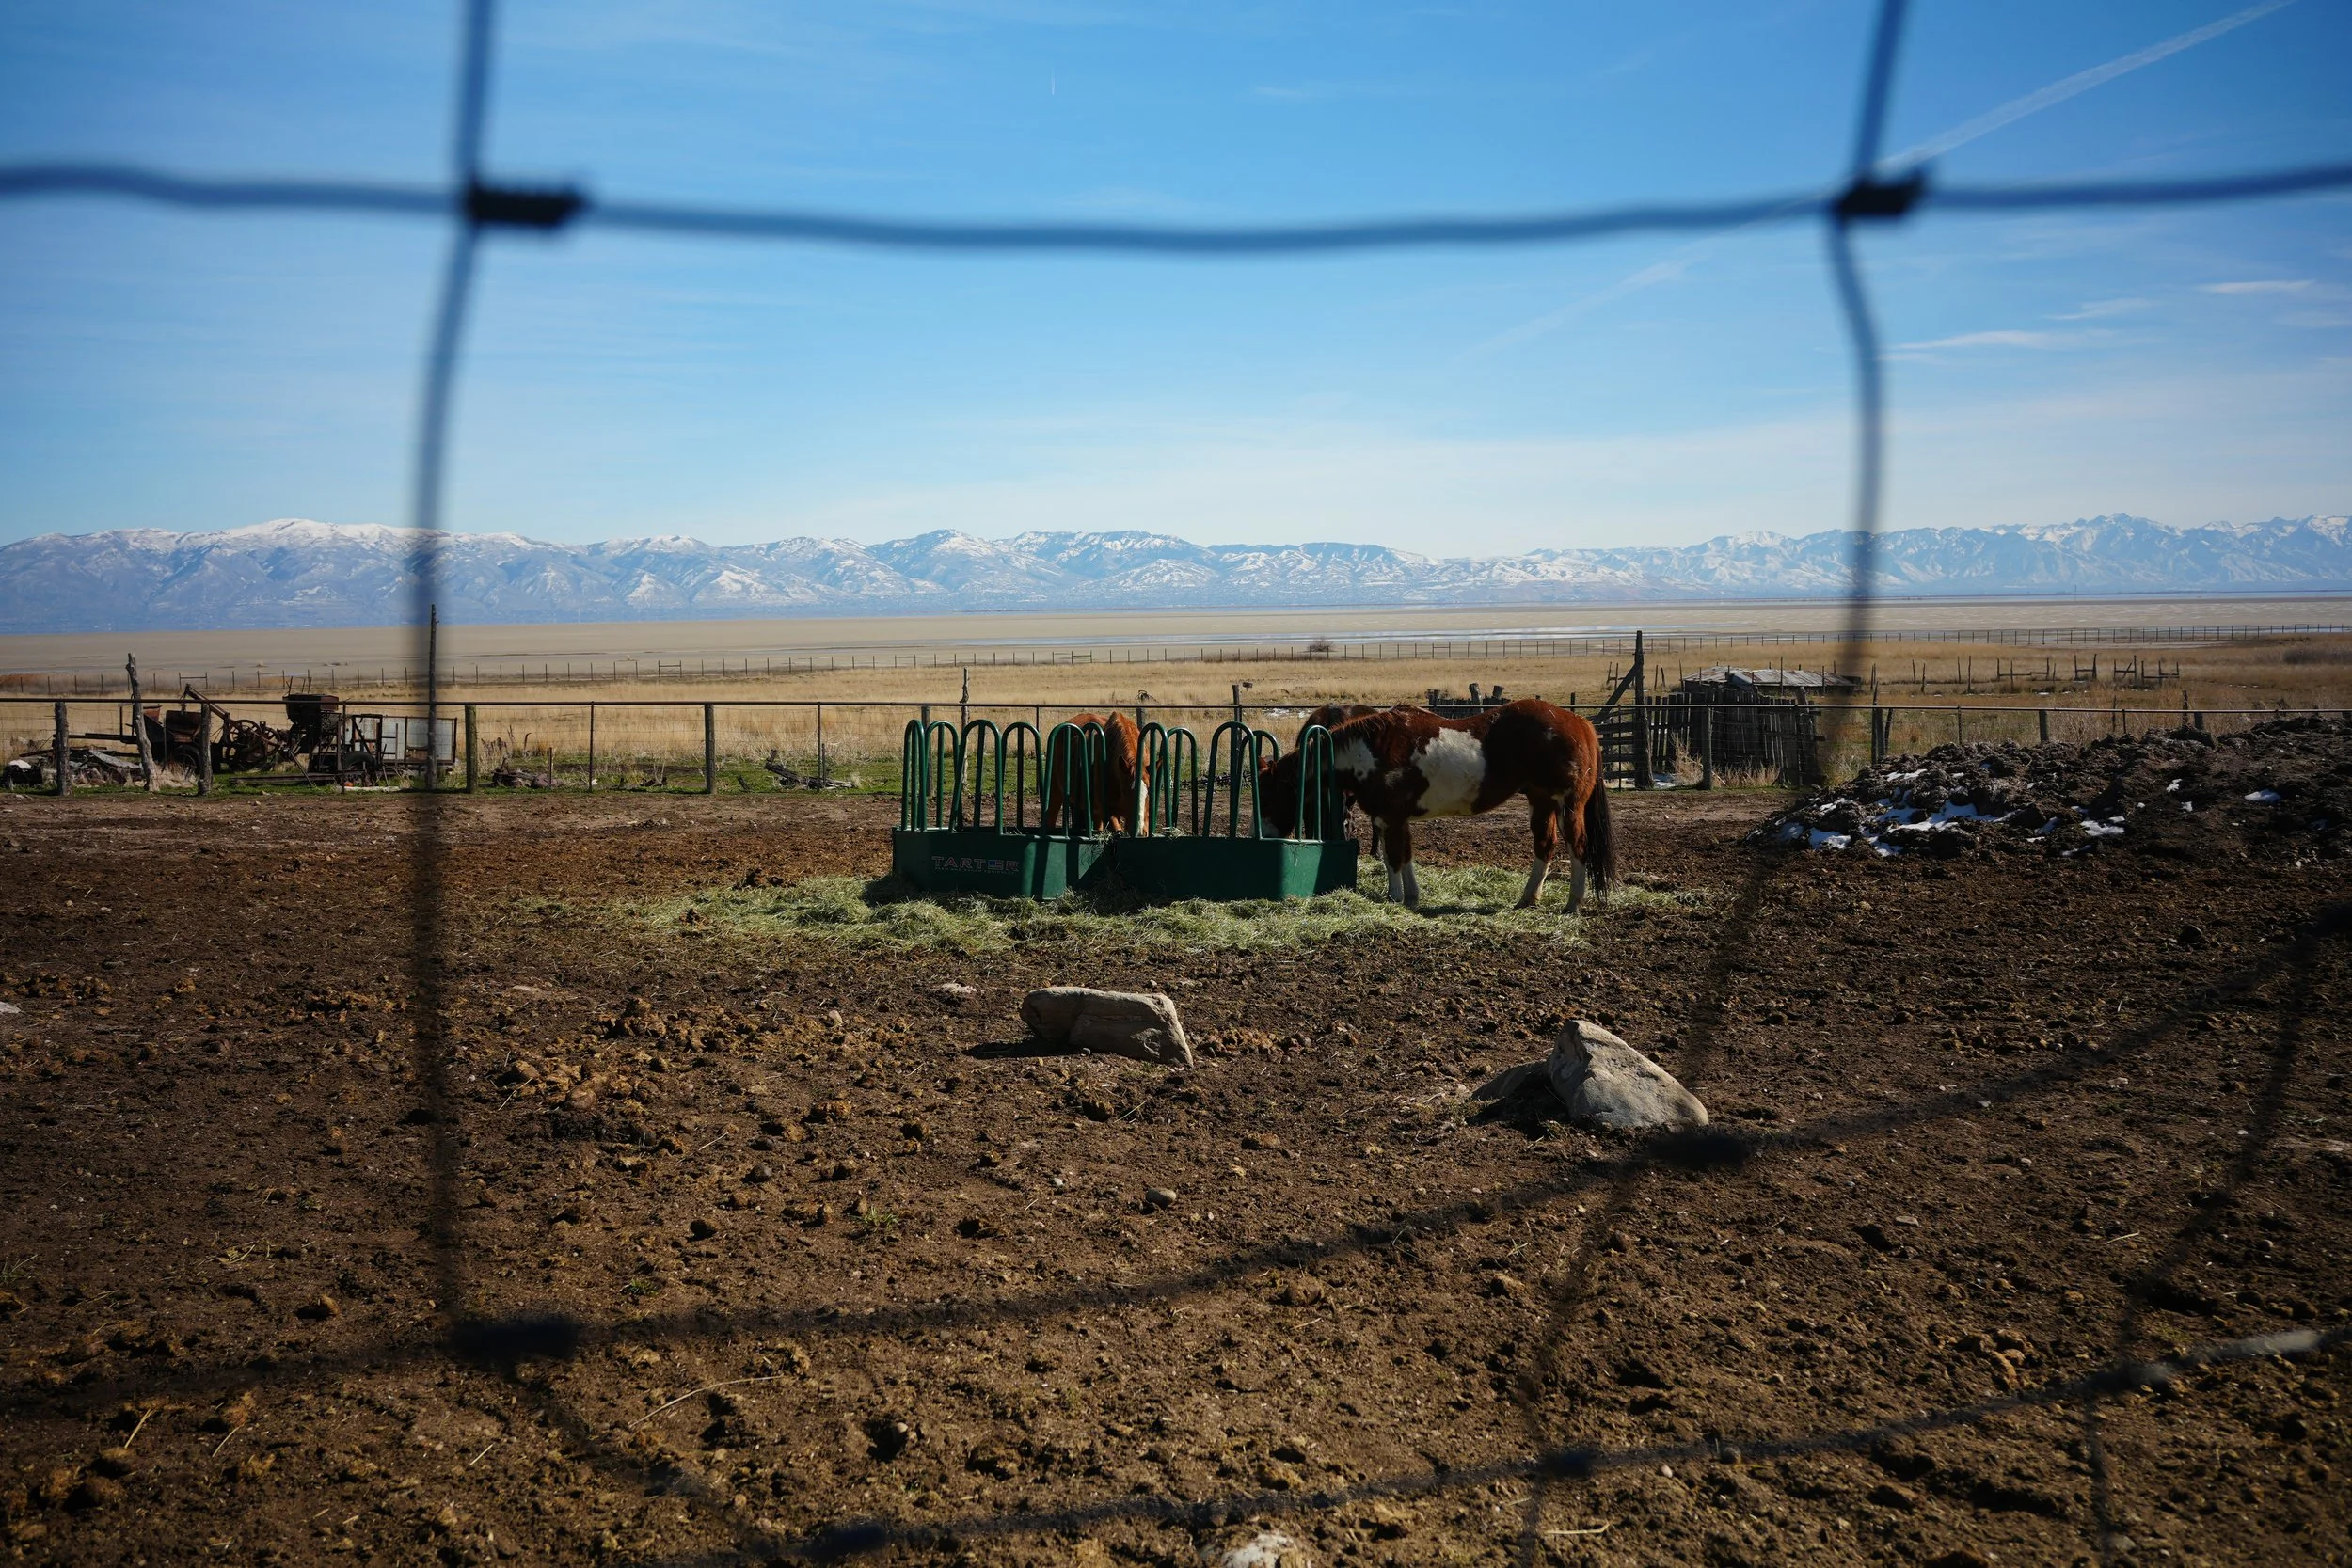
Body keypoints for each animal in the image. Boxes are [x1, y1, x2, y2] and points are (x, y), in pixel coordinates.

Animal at [1262, 698, 1614, 912]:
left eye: (1271, 795)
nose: (1264, 832)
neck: (1368, 750)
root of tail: (1580, 722)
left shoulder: (1390, 818)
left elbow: (1393, 859)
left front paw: (1394, 898)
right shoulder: (1394, 819)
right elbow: (1403, 857)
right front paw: (1411, 898)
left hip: (1569, 805)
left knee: (1578, 847)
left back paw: (1573, 903)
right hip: (1541, 801)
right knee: (1545, 846)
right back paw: (1528, 899)